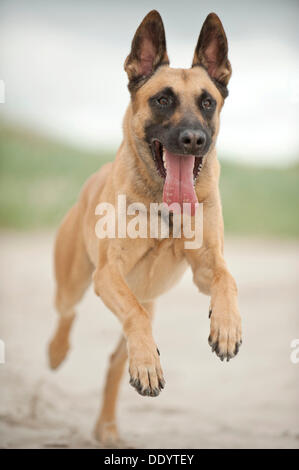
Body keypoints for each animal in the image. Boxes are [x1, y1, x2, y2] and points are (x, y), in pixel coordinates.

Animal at [48, 9, 243, 446]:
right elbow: (133, 316)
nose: (193, 139)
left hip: (144, 300)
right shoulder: (108, 274)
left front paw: (226, 326)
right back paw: (57, 352)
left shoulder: (206, 267)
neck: (163, 208)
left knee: (116, 361)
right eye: (163, 99)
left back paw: (107, 426)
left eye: (208, 102)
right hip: (78, 282)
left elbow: (226, 279)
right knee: (68, 313)